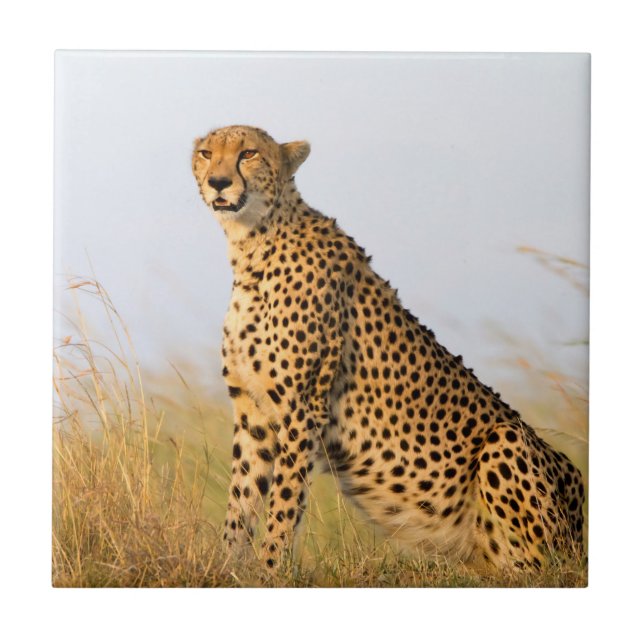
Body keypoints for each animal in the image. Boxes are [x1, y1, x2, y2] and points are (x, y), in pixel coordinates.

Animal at [191, 124, 585, 573]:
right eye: (206, 154)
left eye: (249, 154)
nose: (218, 182)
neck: (253, 243)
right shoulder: (252, 411)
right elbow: (241, 499)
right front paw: (226, 567)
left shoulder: (302, 408)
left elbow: (283, 503)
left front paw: (270, 570)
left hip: (507, 445)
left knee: (535, 567)